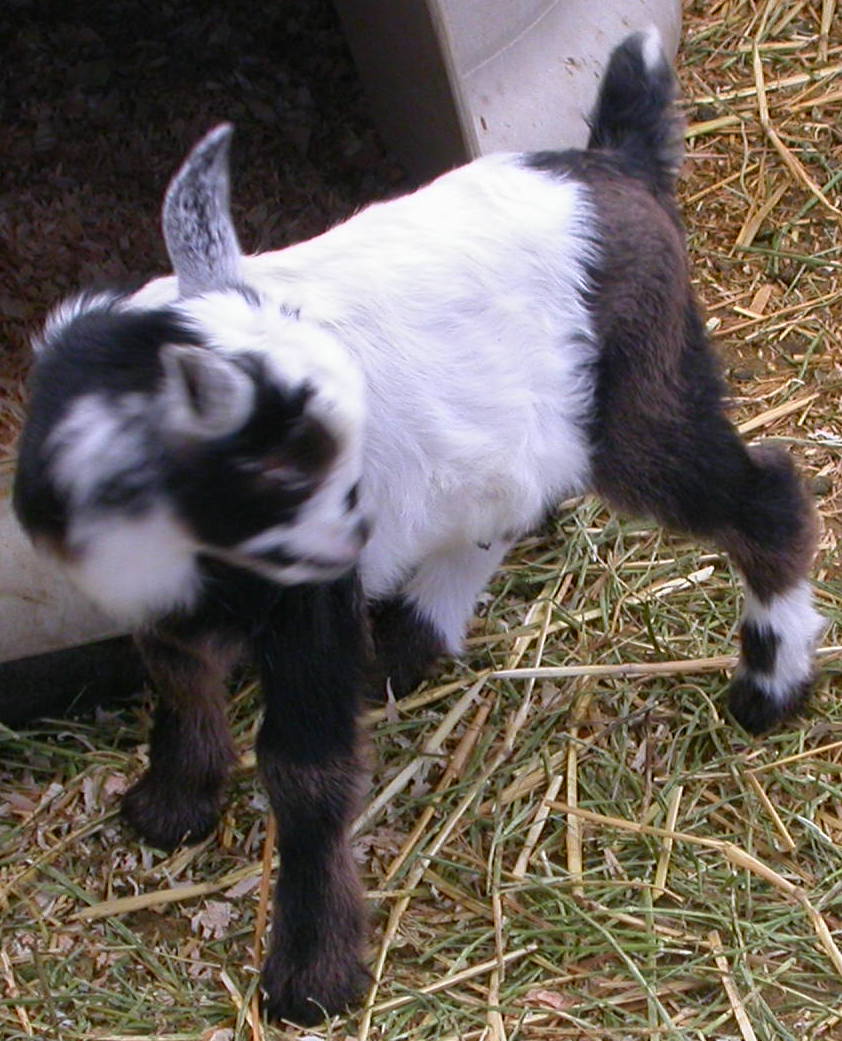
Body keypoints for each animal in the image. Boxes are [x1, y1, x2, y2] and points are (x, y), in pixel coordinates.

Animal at [13, 29, 823, 1025]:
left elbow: (305, 770)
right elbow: (176, 670)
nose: (356, 531)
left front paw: (312, 974)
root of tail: (615, 162)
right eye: (282, 462)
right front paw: (172, 802)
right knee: (511, 502)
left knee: (766, 497)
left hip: (642, 397)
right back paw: (414, 637)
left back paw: (771, 683)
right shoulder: (173, 597)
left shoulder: (306, 610)